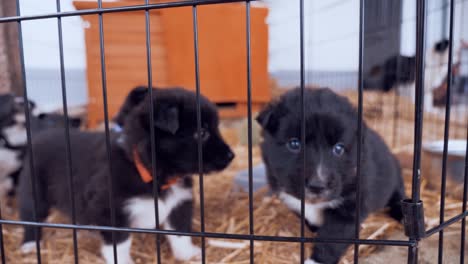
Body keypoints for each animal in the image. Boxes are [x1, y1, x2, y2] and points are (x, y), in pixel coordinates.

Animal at [18, 87, 234, 262]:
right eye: (202, 133)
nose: (231, 155)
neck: (152, 174)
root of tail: (41, 134)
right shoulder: (110, 208)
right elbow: (119, 243)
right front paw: (122, 261)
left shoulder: (180, 202)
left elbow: (179, 231)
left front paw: (187, 254)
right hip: (34, 191)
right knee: (31, 216)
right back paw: (29, 244)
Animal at [256, 87, 406, 262]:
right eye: (294, 144)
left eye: (338, 148)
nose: (317, 185)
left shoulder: (349, 209)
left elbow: (331, 239)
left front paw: (315, 261)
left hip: (395, 179)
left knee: (399, 198)